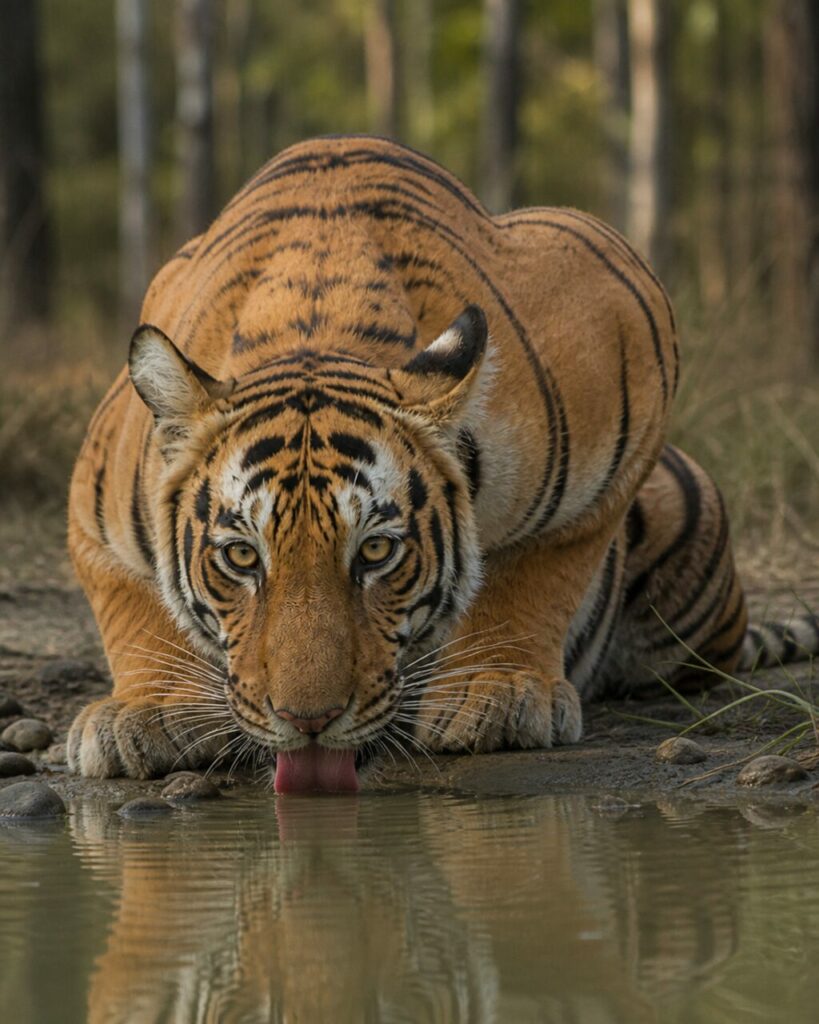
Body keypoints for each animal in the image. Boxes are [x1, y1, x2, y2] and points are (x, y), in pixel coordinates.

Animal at [66, 135, 819, 788]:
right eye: (242, 557)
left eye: (376, 552)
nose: (308, 721)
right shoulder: (94, 508)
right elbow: (134, 604)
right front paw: (147, 712)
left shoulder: (619, 318)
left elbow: (544, 562)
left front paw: (496, 693)